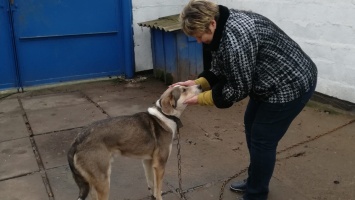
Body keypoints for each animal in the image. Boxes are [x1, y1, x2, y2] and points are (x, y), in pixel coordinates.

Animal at [67, 85, 200, 200]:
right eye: (184, 89)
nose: (200, 85)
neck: (165, 116)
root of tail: (77, 141)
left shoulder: (147, 161)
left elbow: (152, 185)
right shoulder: (160, 165)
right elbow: (158, 189)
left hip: (93, 183)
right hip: (103, 181)